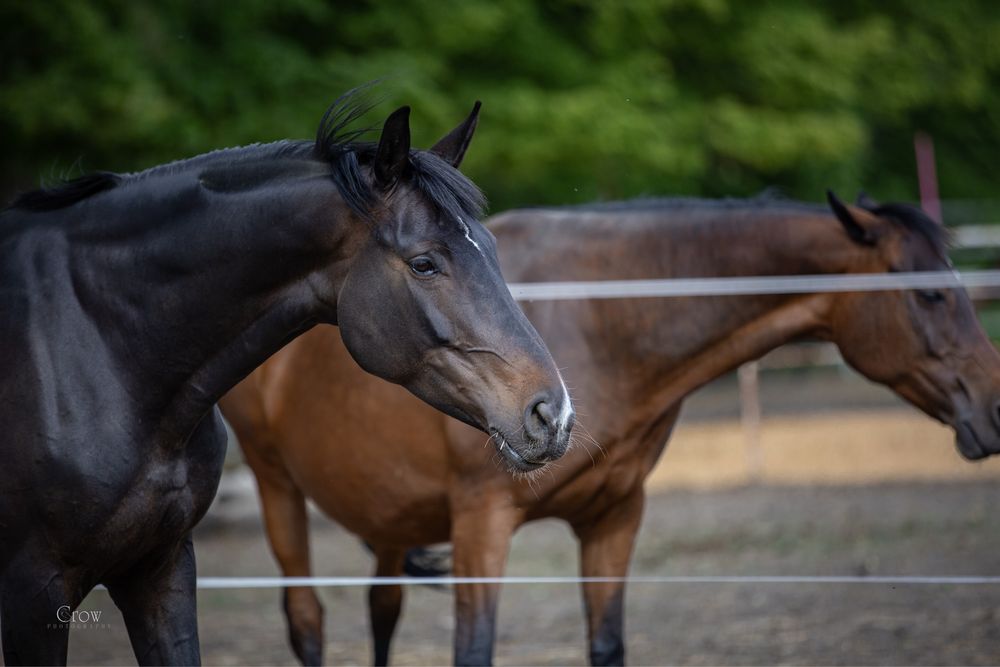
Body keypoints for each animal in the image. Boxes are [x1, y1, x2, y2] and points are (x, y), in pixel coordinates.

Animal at [0, 91, 580, 664]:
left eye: (493, 250)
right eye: (423, 263)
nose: (553, 414)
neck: (103, 347)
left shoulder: (161, 568)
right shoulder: (37, 592)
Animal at [221, 190, 1000, 664]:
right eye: (930, 295)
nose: (994, 409)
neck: (600, 320)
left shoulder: (613, 518)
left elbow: (607, 645)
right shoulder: (482, 522)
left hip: (387, 516)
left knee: (382, 608)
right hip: (276, 485)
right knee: (307, 621)